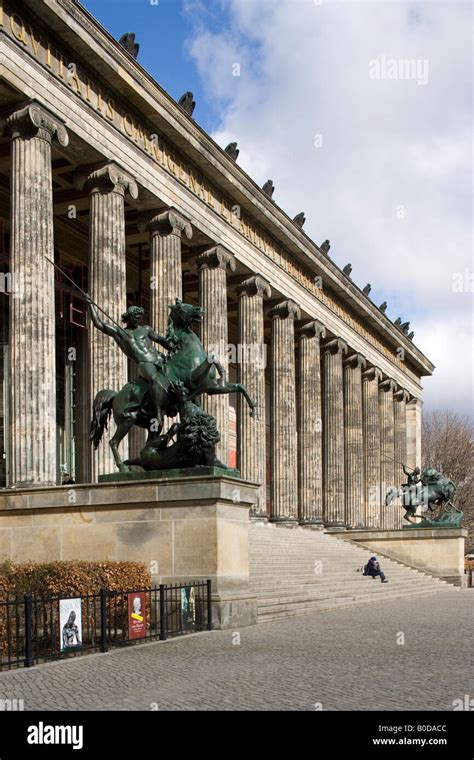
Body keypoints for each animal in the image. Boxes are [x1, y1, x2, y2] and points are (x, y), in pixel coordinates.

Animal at [90, 300, 258, 472]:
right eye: (182, 307)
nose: (199, 309)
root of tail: (116, 395)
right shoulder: (193, 379)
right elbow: (212, 358)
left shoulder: (211, 387)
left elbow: (238, 385)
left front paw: (252, 408)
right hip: (128, 418)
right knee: (113, 442)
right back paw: (123, 467)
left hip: (145, 420)